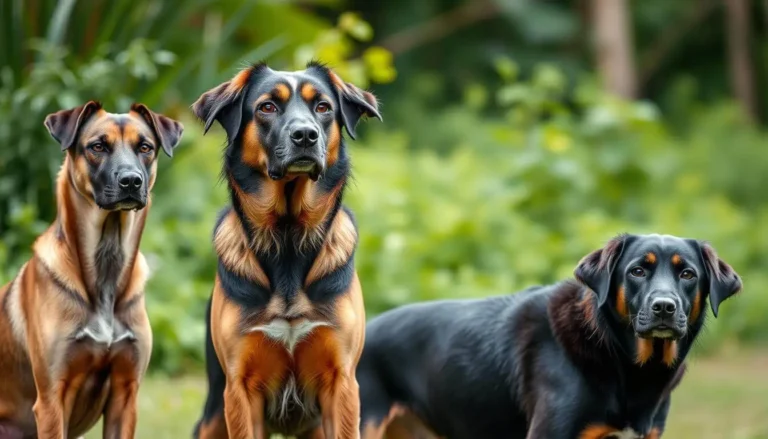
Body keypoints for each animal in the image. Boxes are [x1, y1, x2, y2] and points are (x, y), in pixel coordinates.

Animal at [0, 101, 182, 438]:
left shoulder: (125, 395)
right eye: (98, 146)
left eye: (145, 147)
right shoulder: (51, 401)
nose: (131, 181)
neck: (107, 263)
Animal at [194, 62, 382, 439]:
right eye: (267, 107)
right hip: (212, 415)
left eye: (323, 107)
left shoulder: (341, 383)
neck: (288, 239)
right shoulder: (240, 388)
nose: (305, 135)